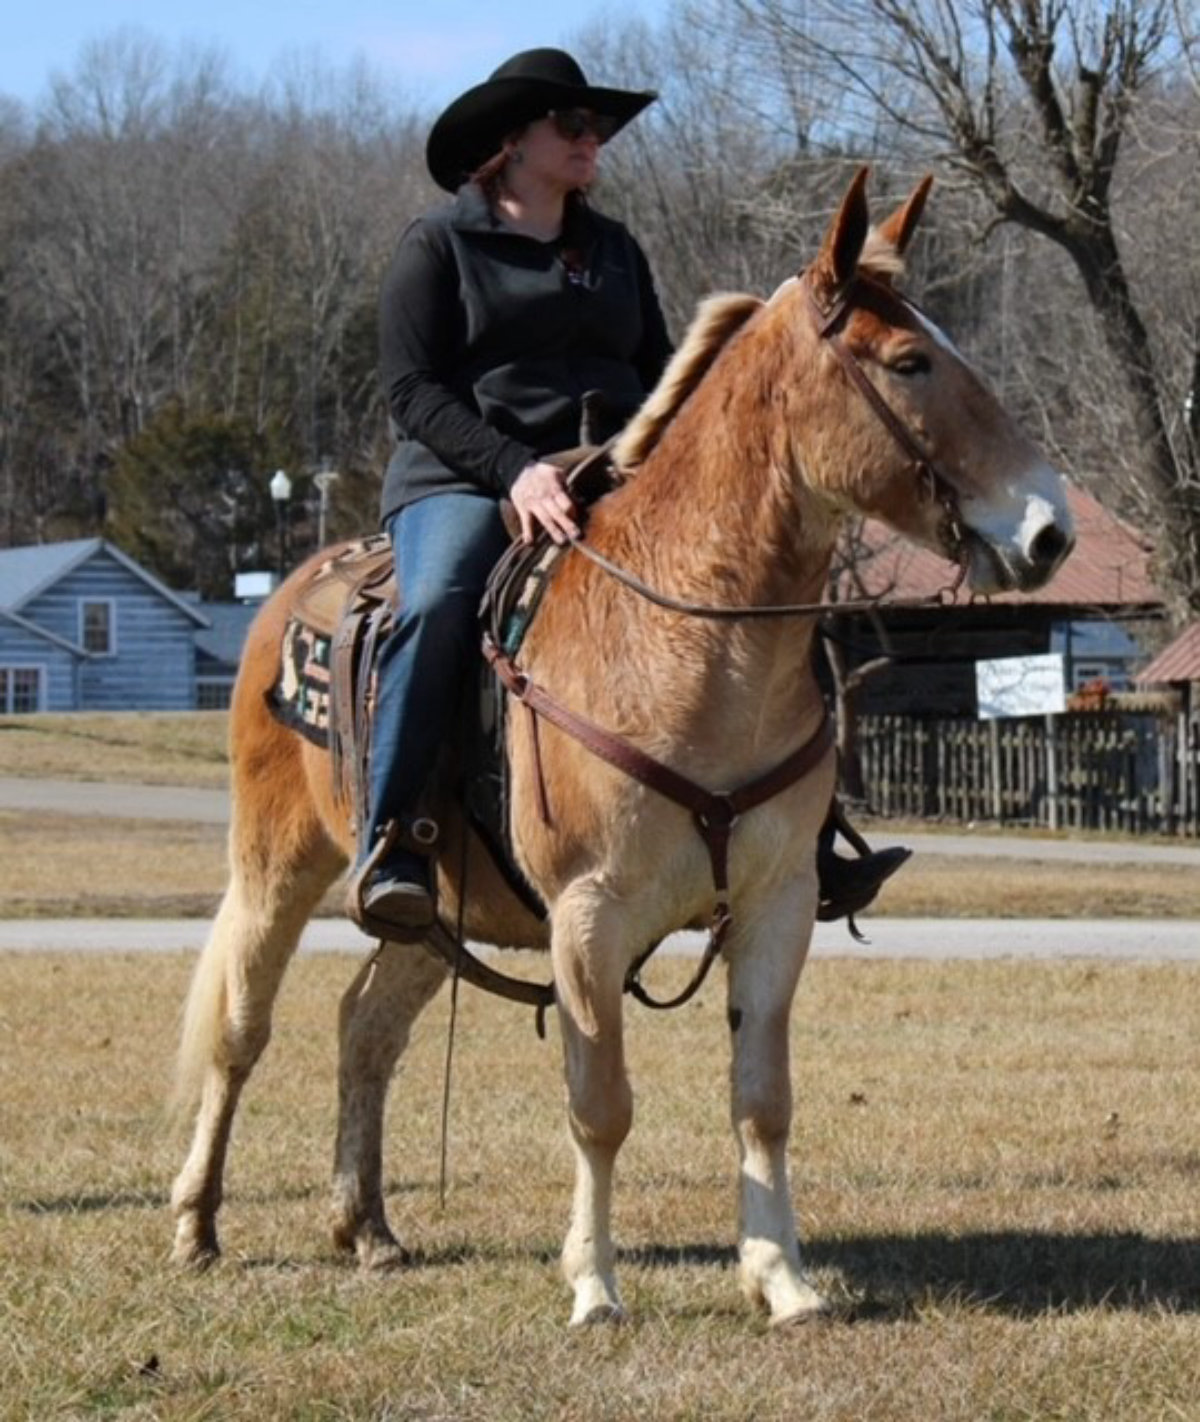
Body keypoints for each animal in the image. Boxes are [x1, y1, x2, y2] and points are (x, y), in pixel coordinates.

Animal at [170, 169, 1074, 1327]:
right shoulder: (589, 920)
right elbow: (599, 1106)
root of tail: (293, 592)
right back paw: (197, 1225)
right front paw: (595, 1285)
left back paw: (366, 1227)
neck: (694, 644)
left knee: (366, 1024)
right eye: (910, 362)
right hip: (277, 865)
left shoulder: (778, 905)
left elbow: (762, 1100)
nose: (1049, 530)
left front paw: (782, 1278)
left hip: (434, 908)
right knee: (242, 1029)